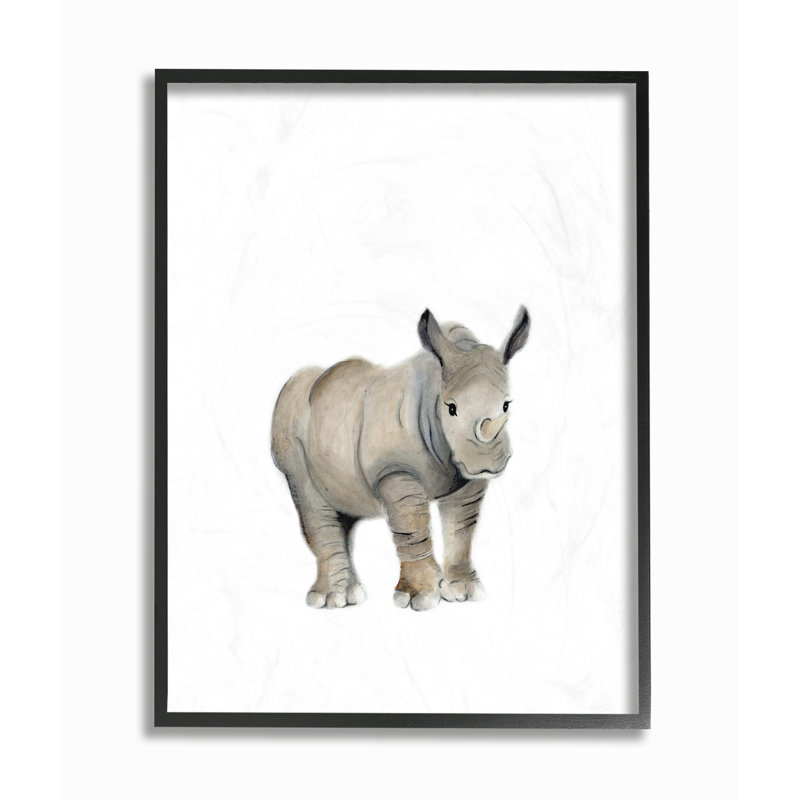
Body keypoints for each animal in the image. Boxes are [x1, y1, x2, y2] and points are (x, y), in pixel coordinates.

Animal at [271, 307, 530, 611]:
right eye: (451, 409)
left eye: (506, 405)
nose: (487, 463)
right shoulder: (394, 469)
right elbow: (412, 525)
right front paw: (422, 598)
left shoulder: (465, 476)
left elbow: (462, 528)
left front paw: (465, 591)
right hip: (289, 427)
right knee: (311, 500)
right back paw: (330, 600)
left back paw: (352, 596)